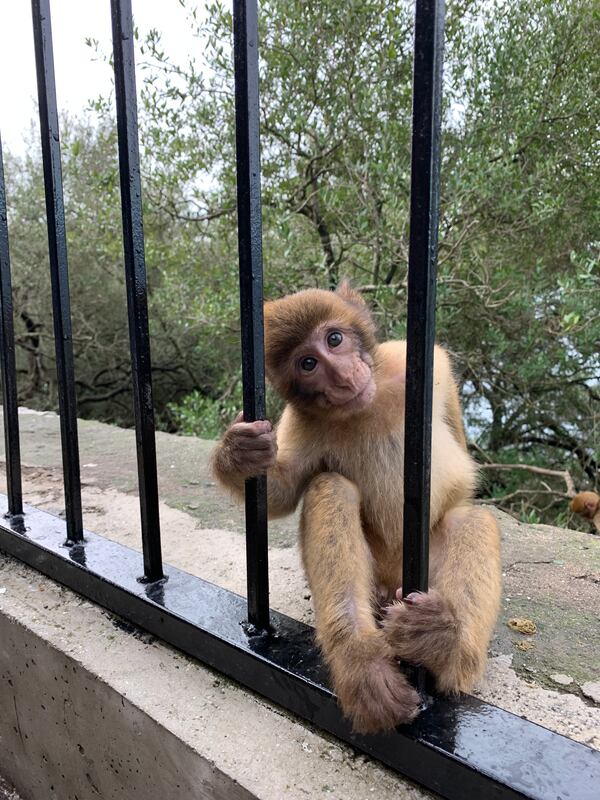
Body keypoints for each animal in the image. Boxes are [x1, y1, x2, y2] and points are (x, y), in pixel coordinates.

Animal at [212, 282, 502, 736]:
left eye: (334, 339)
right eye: (308, 363)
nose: (344, 376)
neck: (369, 402)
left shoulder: (424, 365)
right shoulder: (303, 422)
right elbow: (282, 493)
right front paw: (237, 453)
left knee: (470, 519)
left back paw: (444, 645)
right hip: (378, 574)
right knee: (329, 488)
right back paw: (360, 658)